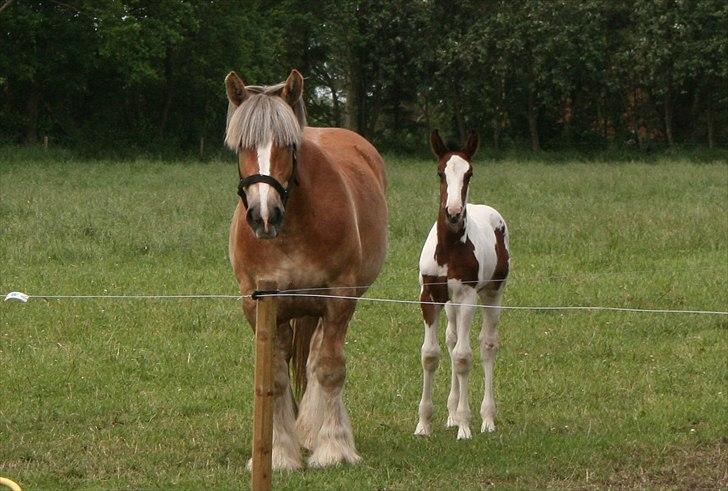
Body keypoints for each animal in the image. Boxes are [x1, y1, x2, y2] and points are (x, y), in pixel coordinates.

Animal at [226, 68, 386, 468]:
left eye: (289, 144)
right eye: (241, 145)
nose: (263, 215)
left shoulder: (339, 299)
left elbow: (329, 369)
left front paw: (333, 448)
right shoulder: (259, 304)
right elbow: (275, 377)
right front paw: (279, 453)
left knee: (317, 358)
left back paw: (314, 431)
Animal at [416, 132, 512, 442]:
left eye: (469, 173)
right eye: (440, 172)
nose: (454, 213)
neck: (448, 249)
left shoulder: (468, 295)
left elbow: (462, 357)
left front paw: (465, 425)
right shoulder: (429, 296)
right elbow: (431, 354)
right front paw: (424, 423)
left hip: (493, 293)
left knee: (487, 345)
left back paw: (486, 419)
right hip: (450, 304)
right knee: (451, 338)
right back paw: (450, 415)